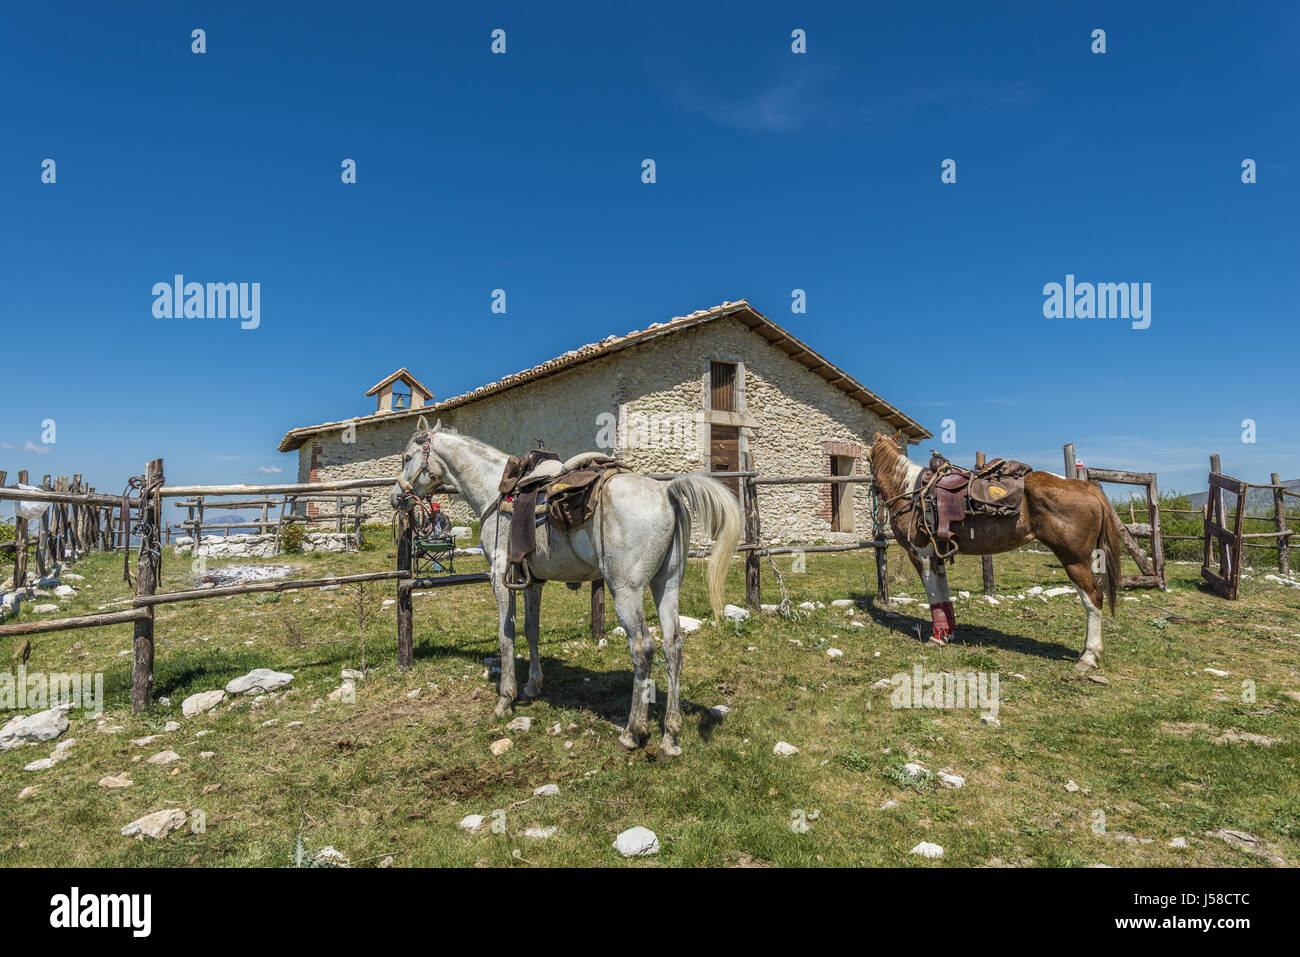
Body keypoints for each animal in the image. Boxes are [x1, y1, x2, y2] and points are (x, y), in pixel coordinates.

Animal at [387, 418, 743, 754]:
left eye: (407, 457)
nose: (396, 497)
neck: (493, 491)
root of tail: (666, 493)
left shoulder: (499, 577)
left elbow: (506, 634)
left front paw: (505, 700)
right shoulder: (531, 580)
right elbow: (531, 629)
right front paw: (533, 686)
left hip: (626, 590)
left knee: (643, 647)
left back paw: (632, 732)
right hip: (666, 585)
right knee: (673, 645)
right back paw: (670, 735)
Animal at [868, 431, 1123, 665]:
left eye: (869, 456)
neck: (909, 490)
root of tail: (1087, 488)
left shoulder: (920, 553)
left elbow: (933, 595)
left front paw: (937, 637)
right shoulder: (937, 554)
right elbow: (943, 594)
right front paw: (949, 633)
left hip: (1074, 559)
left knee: (1093, 598)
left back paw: (1089, 656)